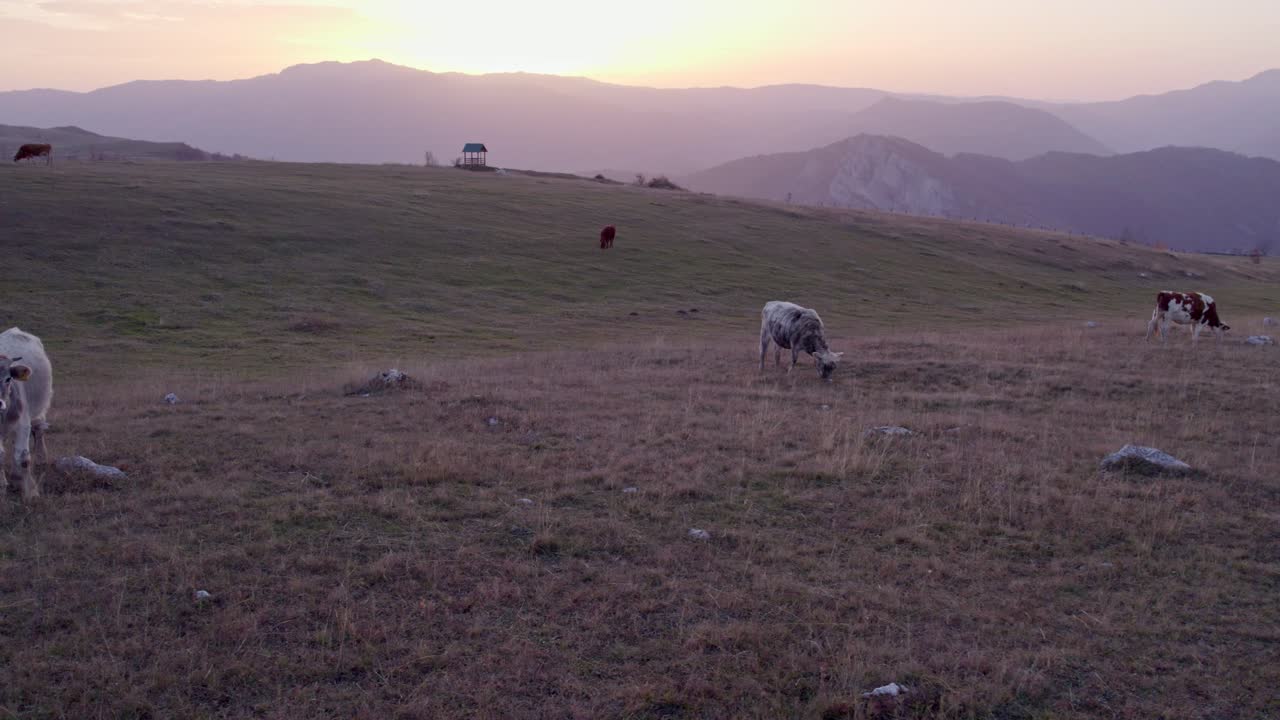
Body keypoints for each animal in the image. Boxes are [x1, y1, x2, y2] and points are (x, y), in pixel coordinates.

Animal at [0, 328, 53, 499]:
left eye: (8, 378)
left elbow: (23, 458)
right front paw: (2, 486)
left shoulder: (23, 423)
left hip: (38, 409)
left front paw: (30, 491)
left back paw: (41, 459)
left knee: (39, 429)